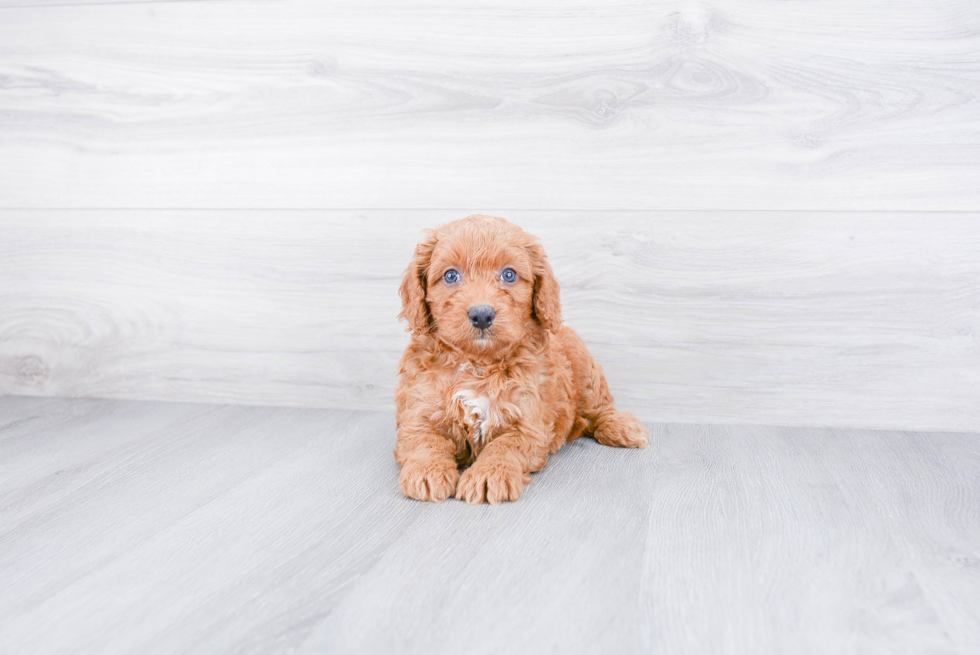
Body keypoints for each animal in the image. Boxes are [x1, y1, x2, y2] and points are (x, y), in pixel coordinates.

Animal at [394, 215, 648, 508]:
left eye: (509, 274)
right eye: (450, 275)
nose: (482, 315)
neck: (478, 364)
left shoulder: (527, 424)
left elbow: (503, 447)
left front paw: (487, 475)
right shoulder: (419, 411)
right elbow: (425, 440)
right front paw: (427, 471)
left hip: (585, 369)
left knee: (600, 408)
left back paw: (623, 427)